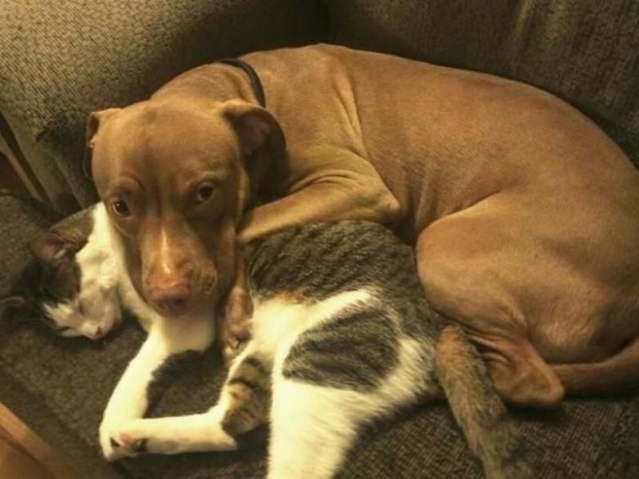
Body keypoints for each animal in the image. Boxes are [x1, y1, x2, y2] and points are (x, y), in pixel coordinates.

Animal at [3, 206, 529, 478]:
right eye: (63, 328)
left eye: (77, 299)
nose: (92, 336)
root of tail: (446, 326)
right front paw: (118, 429)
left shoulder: (183, 324)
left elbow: (134, 372)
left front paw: (110, 423)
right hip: (262, 353)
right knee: (235, 422)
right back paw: (141, 436)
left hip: (320, 354)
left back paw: (130, 433)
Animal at [86, 44, 639, 408]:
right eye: (120, 205)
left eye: (205, 192)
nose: (170, 295)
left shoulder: (356, 185)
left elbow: (247, 224)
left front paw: (235, 308)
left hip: (444, 247)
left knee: (533, 383)